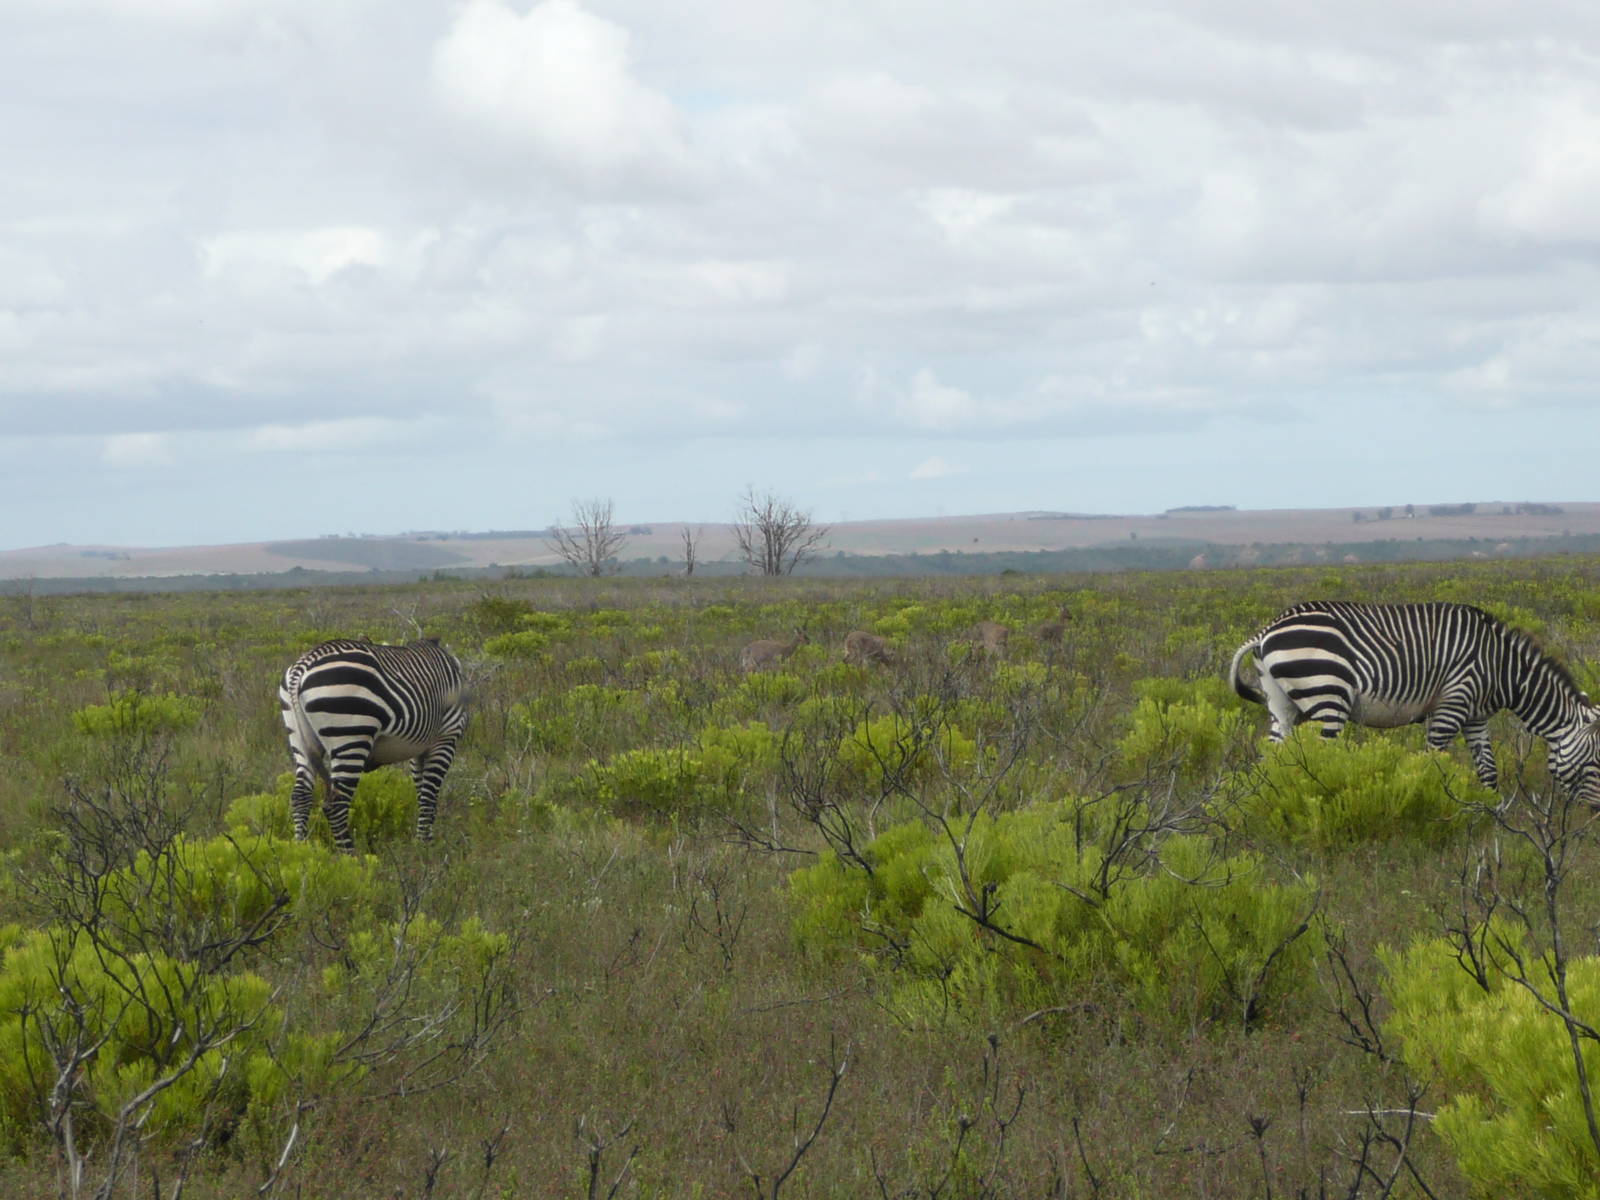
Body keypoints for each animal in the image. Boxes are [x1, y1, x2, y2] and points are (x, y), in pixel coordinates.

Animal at [279, 636, 468, 851]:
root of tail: (302, 666)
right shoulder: (446, 737)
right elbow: (429, 796)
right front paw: (424, 847)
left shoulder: (419, 748)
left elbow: (422, 793)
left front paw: (424, 842)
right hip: (352, 736)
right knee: (336, 806)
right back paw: (349, 856)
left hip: (299, 738)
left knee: (300, 796)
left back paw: (299, 848)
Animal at [1228, 601, 1600, 800]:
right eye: (1596, 760)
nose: (1594, 816)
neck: (1503, 668)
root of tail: (1266, 630)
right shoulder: (1452, 705)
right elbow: (1432, 764)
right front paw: (1433, 804)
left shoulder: (1475, 716)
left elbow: (1488, 769)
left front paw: (1491, 815)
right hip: (1328, 697)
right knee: (1319, 758)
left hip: (1281, 706)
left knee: (1272, 759)